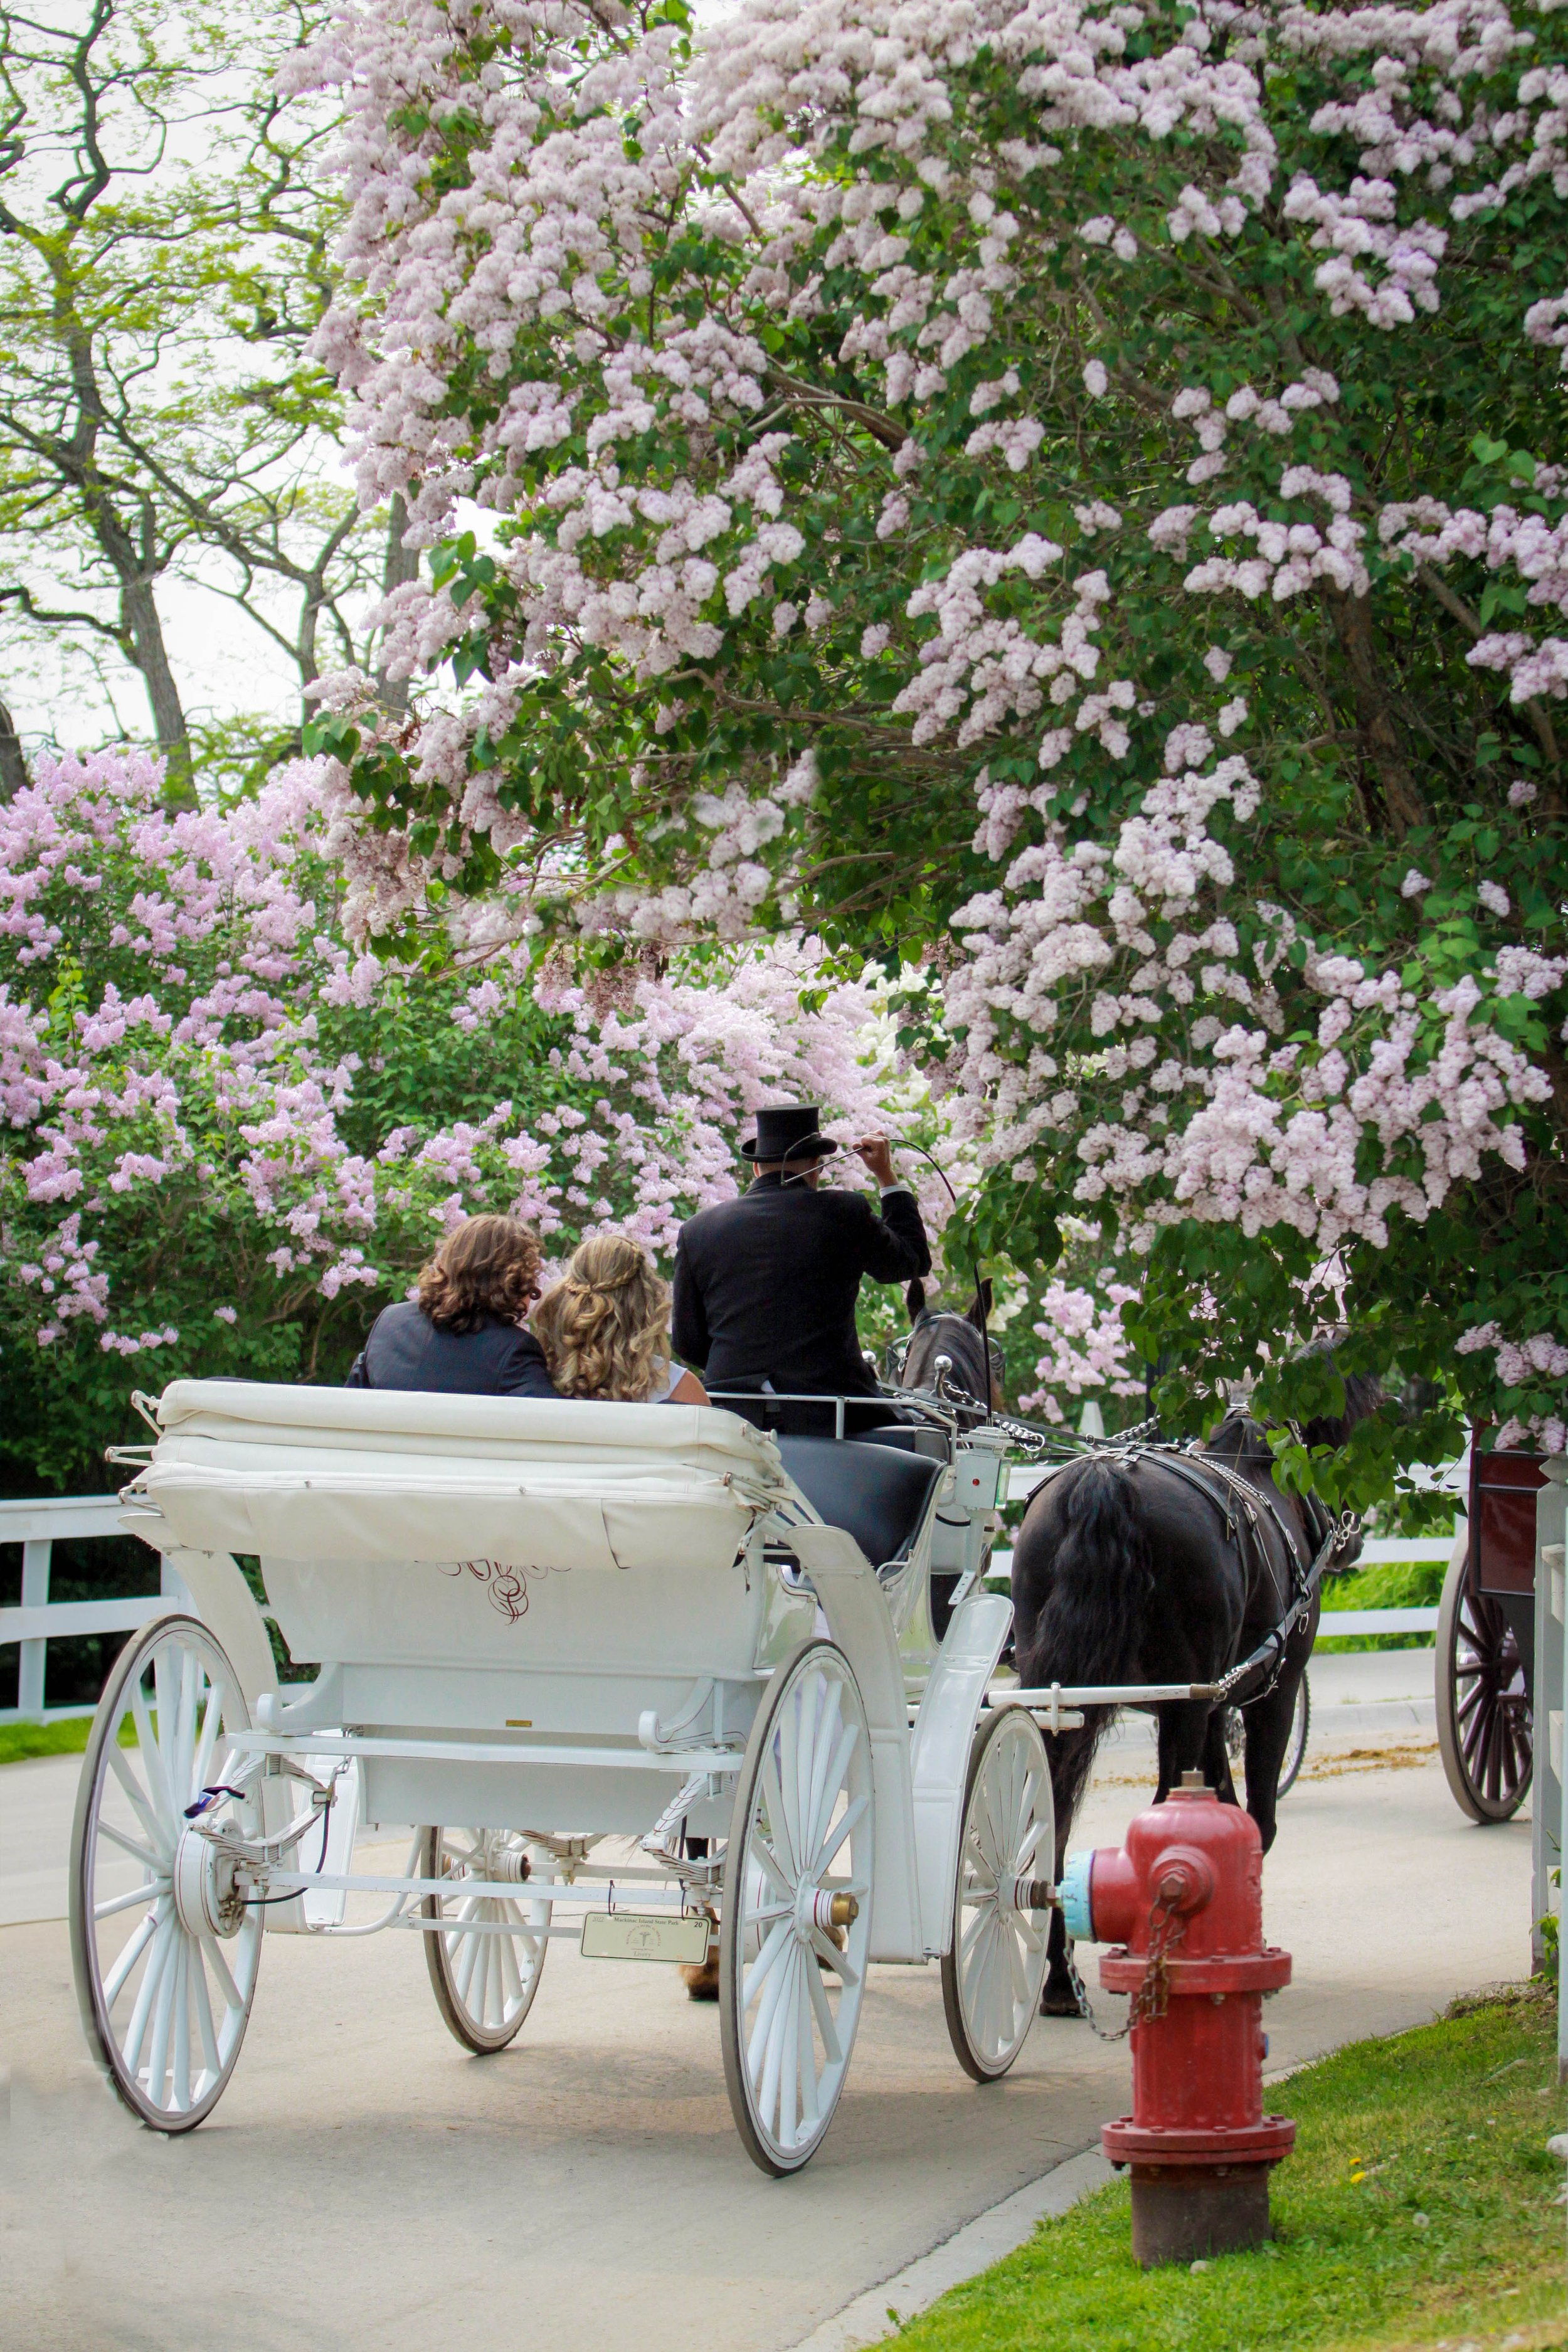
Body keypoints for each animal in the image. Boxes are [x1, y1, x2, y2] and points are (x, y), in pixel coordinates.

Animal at [1020, 1383, 1372, 2013]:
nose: (1353, 1536)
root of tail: (1107, 1479)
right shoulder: (1265, 1696)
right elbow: (1256, 1819)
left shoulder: (1209, 1703)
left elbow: (1221, 1806)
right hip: (1185, 1704)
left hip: (1057, 1699)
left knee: (1051, 1819)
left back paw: (1061, 1979)